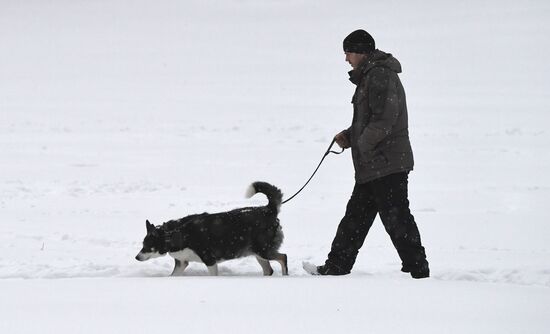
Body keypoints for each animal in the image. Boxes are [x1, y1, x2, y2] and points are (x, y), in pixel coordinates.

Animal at [136, 181, 288, 276]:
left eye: (147, 246)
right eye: (142, 245)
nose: (137, 257)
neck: (176, 233)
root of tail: (268, 210)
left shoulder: (209, 260)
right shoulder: (182, 263)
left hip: (263, 250)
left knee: (283, 257)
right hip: (256, 252)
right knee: (269, 270)